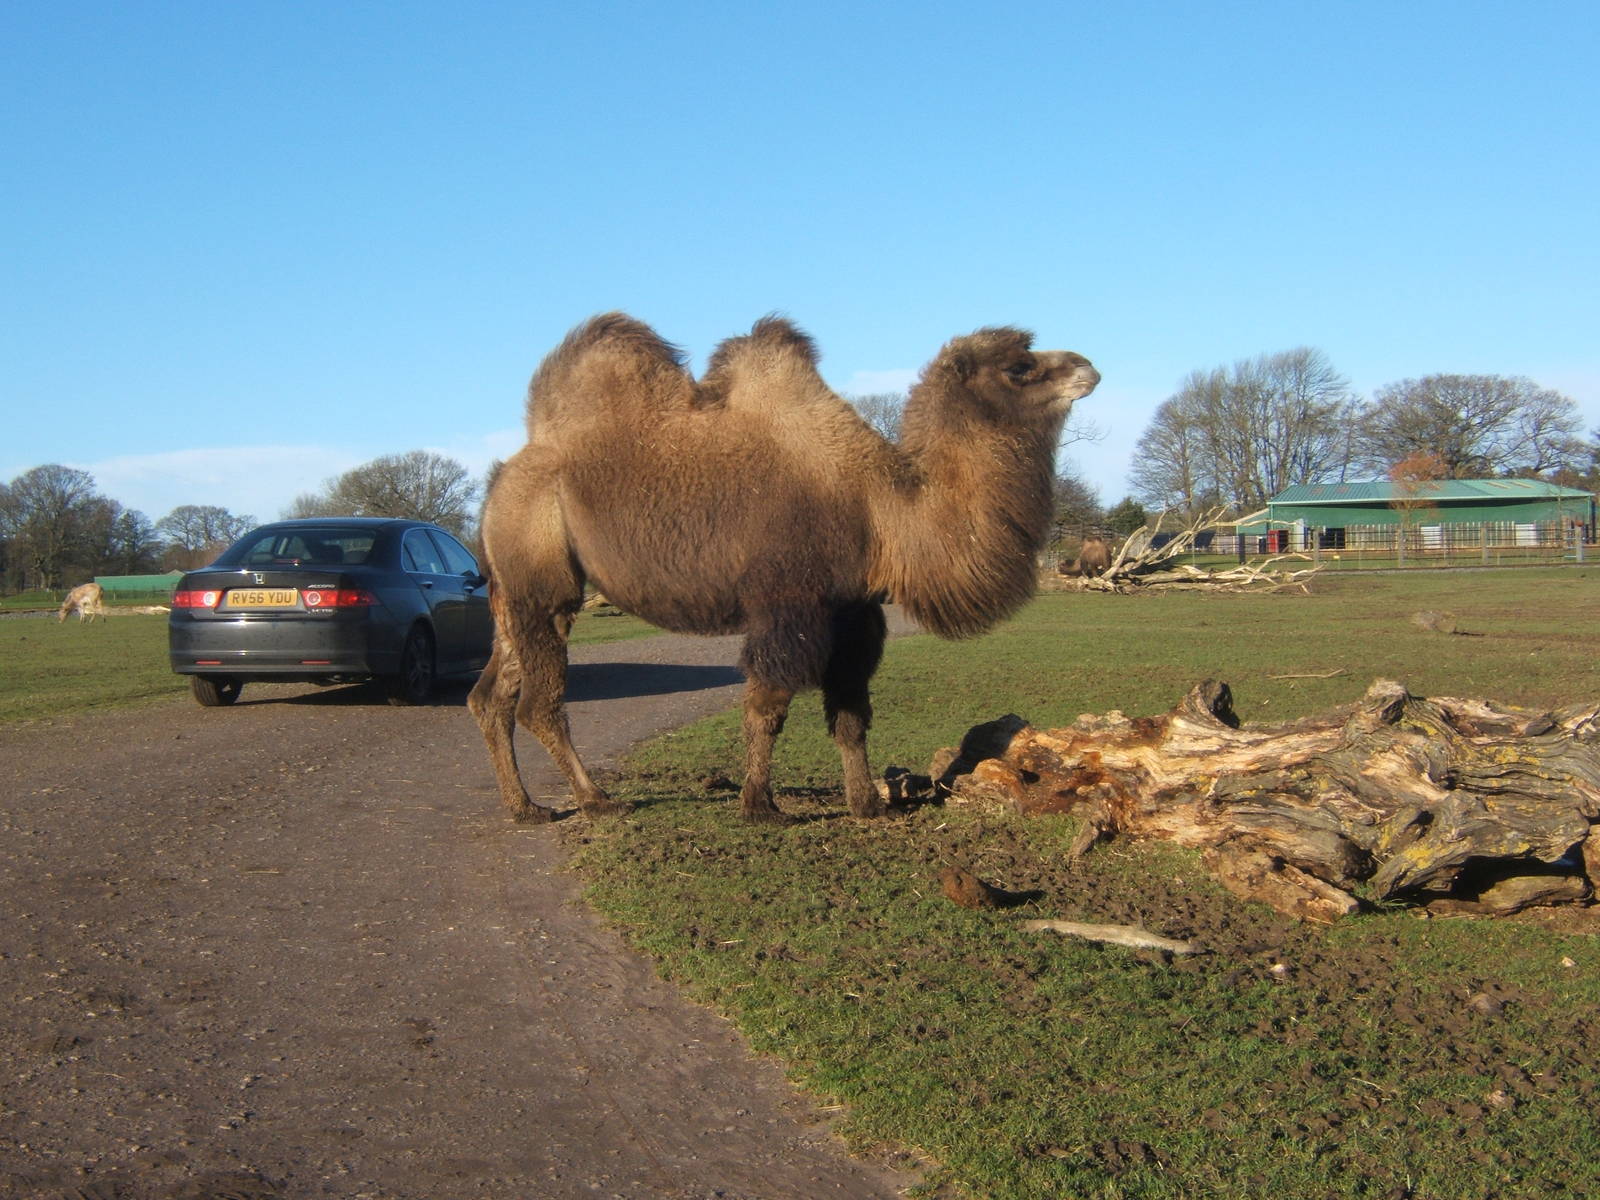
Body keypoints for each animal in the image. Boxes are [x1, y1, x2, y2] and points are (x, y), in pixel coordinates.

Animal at [469, 313, 1099, 823]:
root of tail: (503, 480)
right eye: (1019, 367)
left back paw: (525, 807)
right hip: (540, 575)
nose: (1087, 365)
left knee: (490, 695)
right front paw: (759, 805)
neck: (881, 511)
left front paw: (866, 804)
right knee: (538, 701)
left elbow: (851, 713)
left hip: (510, 587)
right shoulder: (790, 602)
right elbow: (767, 706)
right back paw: (595, 800)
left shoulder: (853, 611)